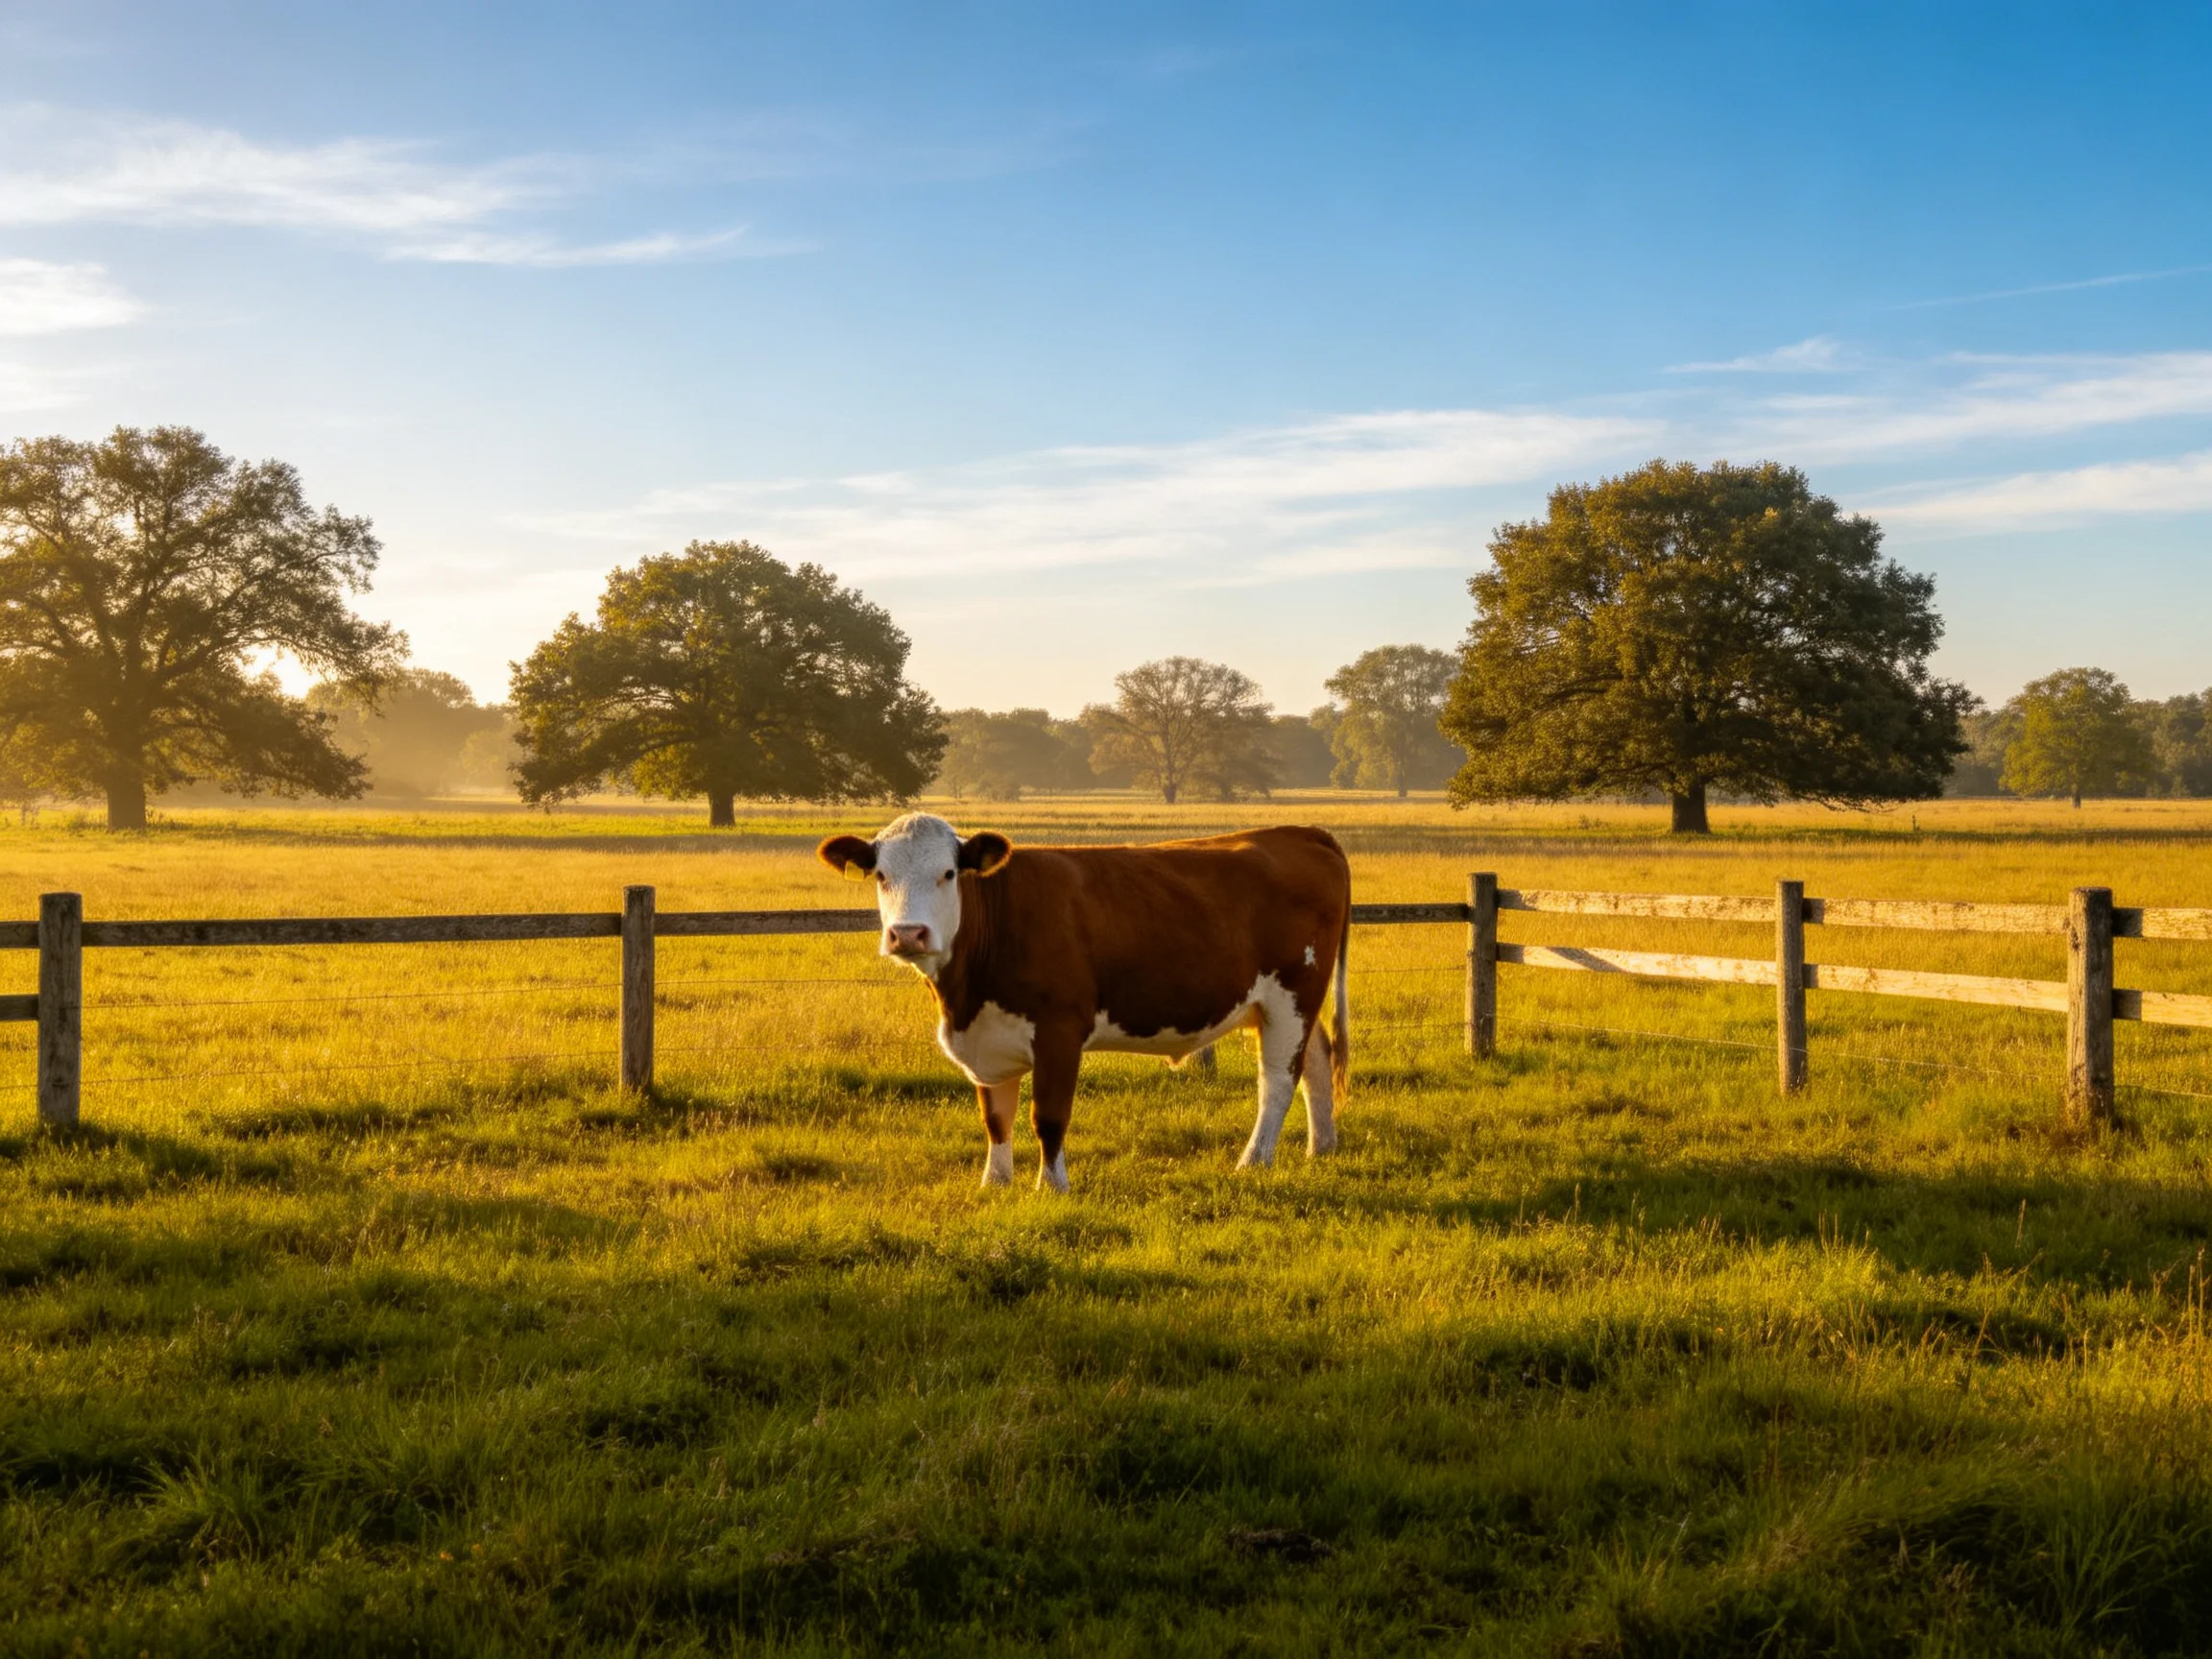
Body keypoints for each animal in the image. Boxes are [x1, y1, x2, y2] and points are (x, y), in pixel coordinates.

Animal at [816, 813, 1350, 1192]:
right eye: (881, 876)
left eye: (949, 873)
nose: (908, 933)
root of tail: (1300, 833)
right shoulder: (987, 1037)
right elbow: (996, 1117)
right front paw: (995, 1183)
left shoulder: (1059, 1031)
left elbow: (1047, 1117)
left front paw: (1051, 1187)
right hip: (1283, 1005)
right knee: (1317, 1061)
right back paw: (1321, 1147)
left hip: (1292, 994)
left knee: (1278, 1079)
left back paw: (1253, 1161)